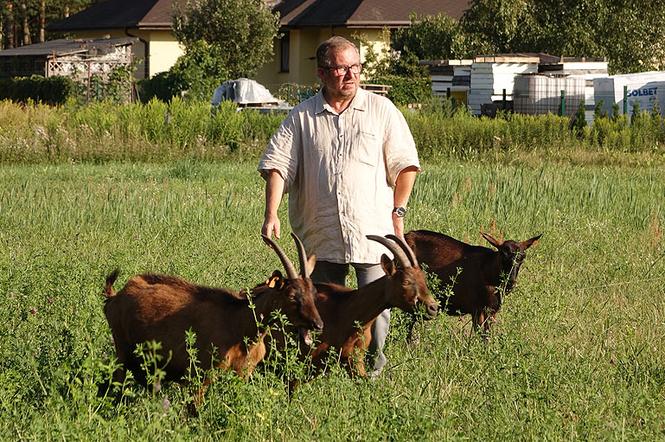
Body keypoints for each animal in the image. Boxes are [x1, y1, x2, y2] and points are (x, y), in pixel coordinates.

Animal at [102, 235, 322, 398]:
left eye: (313, 293)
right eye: (292, 296)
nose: (318, 324)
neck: (240, 324)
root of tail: (115, 296)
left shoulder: (242, 375)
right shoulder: (201, 376)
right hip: (122, 352)